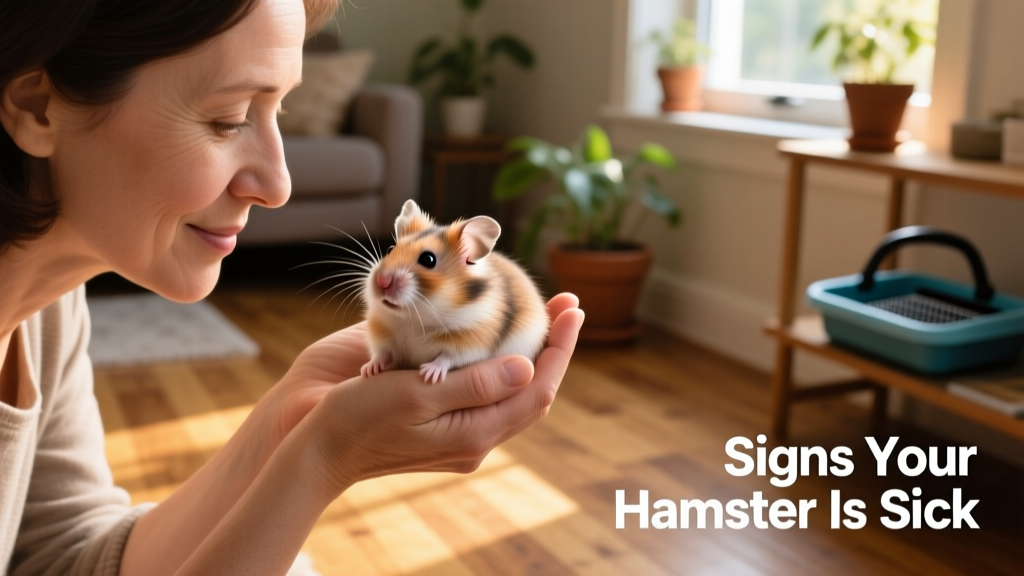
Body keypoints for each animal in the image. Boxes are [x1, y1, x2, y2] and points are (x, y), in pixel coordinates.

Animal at [360, 200, 548, 383]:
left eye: (428, 259)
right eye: (391, 249)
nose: (382, 281)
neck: (412, 320)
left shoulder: (473, 340)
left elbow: (448, 357)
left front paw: (429, 375)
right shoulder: (381, 333)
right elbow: (381, 353)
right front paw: (368, 370)